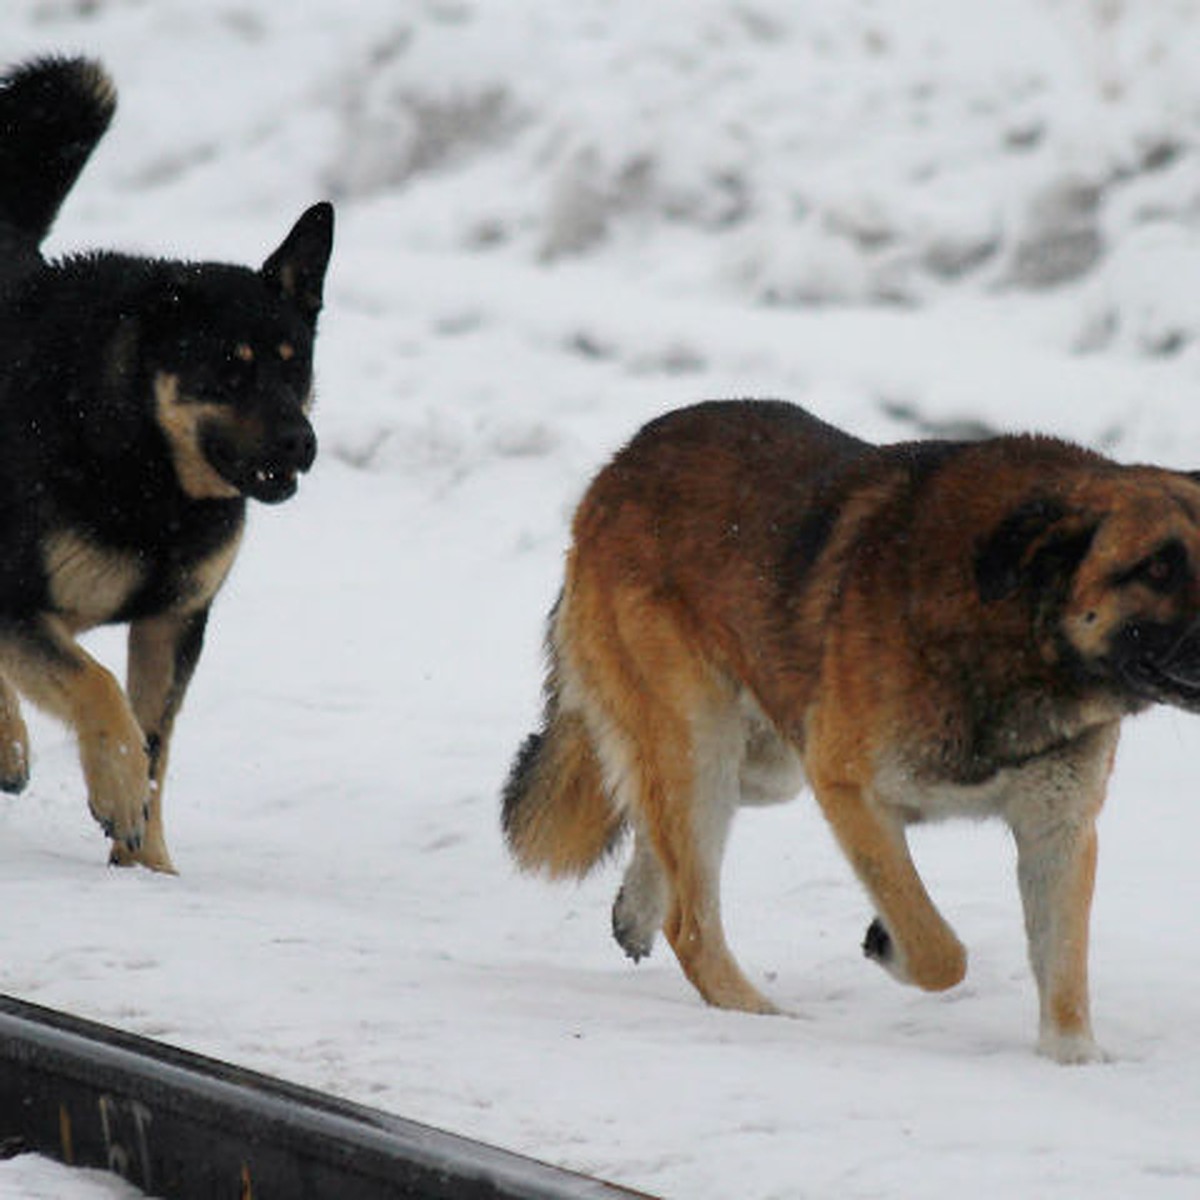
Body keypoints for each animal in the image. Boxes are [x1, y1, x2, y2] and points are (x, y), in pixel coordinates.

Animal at [0, 58, 333, 873]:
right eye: (230, 370)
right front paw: (117, 791)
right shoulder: (17, 600)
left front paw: (147, 864)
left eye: (294, 364)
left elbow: (155, 742)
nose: (300, 442)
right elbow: (96, 688)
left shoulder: (173, 622)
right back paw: (11, 744)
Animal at [499, 400, 1200, 1060]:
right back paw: (756, 1012)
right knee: (690, 922)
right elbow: (937, 949)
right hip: (703, 744)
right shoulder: (845, 786)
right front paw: (889, 943)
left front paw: (1072, 1059)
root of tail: (620, 465)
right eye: (1156, 569)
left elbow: (1064, 970)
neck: (1016, 630)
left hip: (761, 762)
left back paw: (637, 909)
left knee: (653, 819)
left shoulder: (1059, 828)